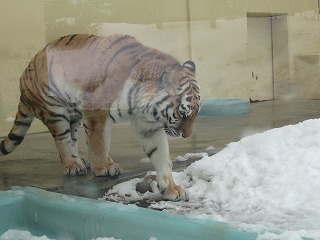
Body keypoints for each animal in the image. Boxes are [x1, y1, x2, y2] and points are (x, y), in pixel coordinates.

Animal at [0, 32, 200, 200]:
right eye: (182, 113)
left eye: (194, 115)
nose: (187, 135)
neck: (143, 107)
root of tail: (25, 76)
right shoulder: (96, 112)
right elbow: (98, 143)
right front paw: (103, 167)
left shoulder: (149, 127)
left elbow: (161, 157)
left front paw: (171, 188)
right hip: (54, 110)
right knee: (63, 140)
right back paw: (73, 164)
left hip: (74, 115)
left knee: (72, 138)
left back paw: (82, 161)